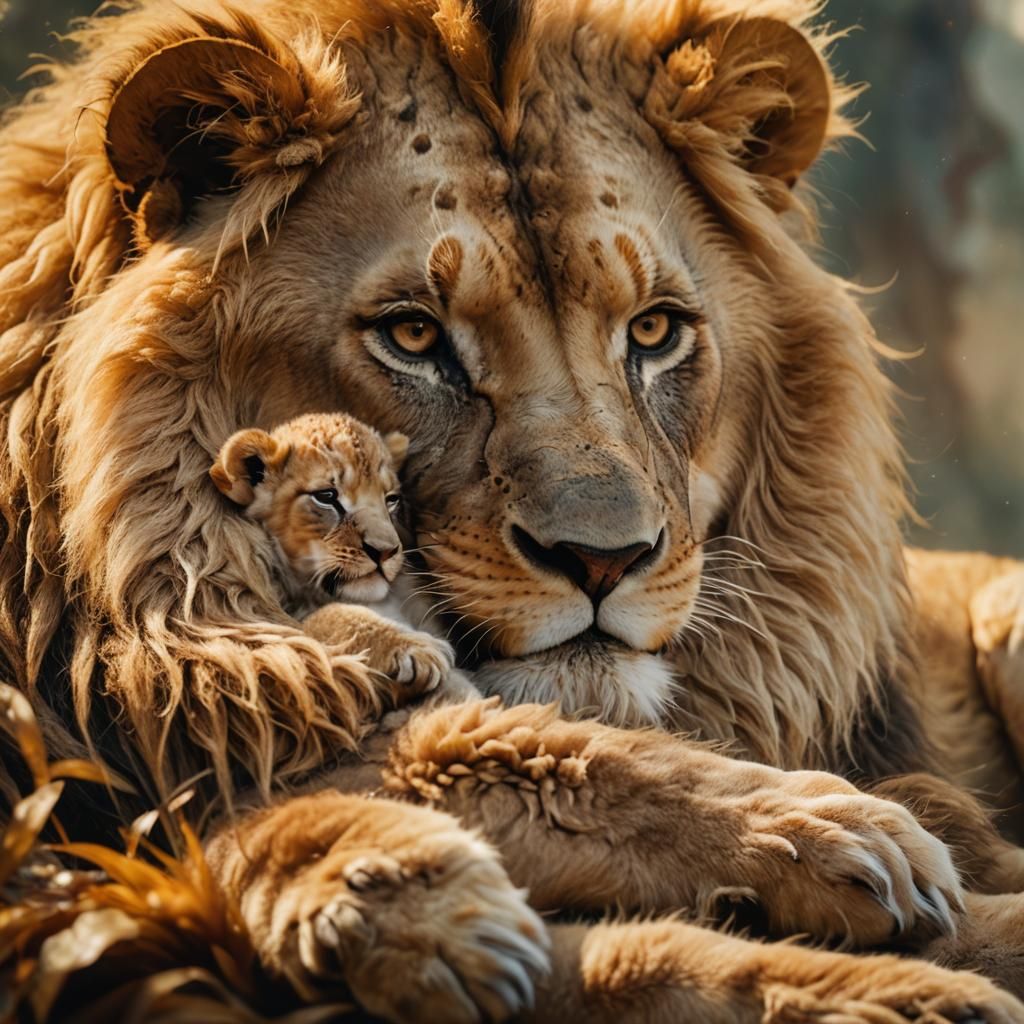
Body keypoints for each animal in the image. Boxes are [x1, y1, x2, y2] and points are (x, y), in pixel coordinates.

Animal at [2, 0, 1024, 1019]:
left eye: (654, 329)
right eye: (414, 335)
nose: (603, 560)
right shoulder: (185, 750)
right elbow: (542, 777)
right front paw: (833, 848)